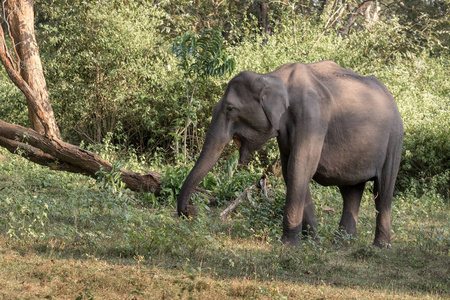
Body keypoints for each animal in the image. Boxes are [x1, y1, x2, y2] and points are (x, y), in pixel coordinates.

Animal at [176, 59, 404, 247]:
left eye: (230, 108)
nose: (190, 211)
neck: (273, 76)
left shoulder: (311, 117)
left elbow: (300, 166)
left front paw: (289, 245)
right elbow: (289, 171)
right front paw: (312, 242)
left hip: (394, 139)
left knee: (383, 189)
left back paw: (381, 246)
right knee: (351, 191)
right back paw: (343, 244)